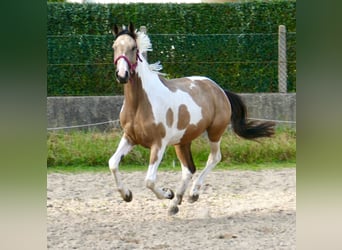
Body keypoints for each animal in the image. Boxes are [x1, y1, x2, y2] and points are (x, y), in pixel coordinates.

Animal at [108, 22, 274, 216]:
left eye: (133, 48)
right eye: (114, 47)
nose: (122, 75)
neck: (140, 103)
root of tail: (219, 89)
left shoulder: (159, 143)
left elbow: (149, 180)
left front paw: (168, 193)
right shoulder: (130, 138)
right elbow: (113, 163)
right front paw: (127, 195)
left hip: (214, 132)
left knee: (214, 158)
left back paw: (192, 194)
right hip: (182, 141)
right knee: (189, 169)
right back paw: (175, 204)